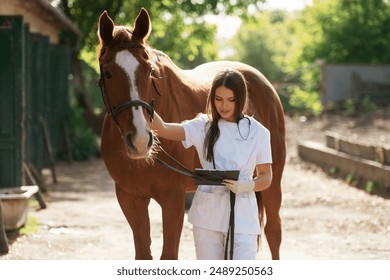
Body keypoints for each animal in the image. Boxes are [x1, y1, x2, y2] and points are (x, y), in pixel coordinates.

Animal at [98, 7, 286, 260]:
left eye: (149, 71)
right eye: (108, 73)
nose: (140, 141)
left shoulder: (172, 200)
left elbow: (168, 254)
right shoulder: (130, 198)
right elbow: (143, 253)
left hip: (272, 182)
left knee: (274, 231)